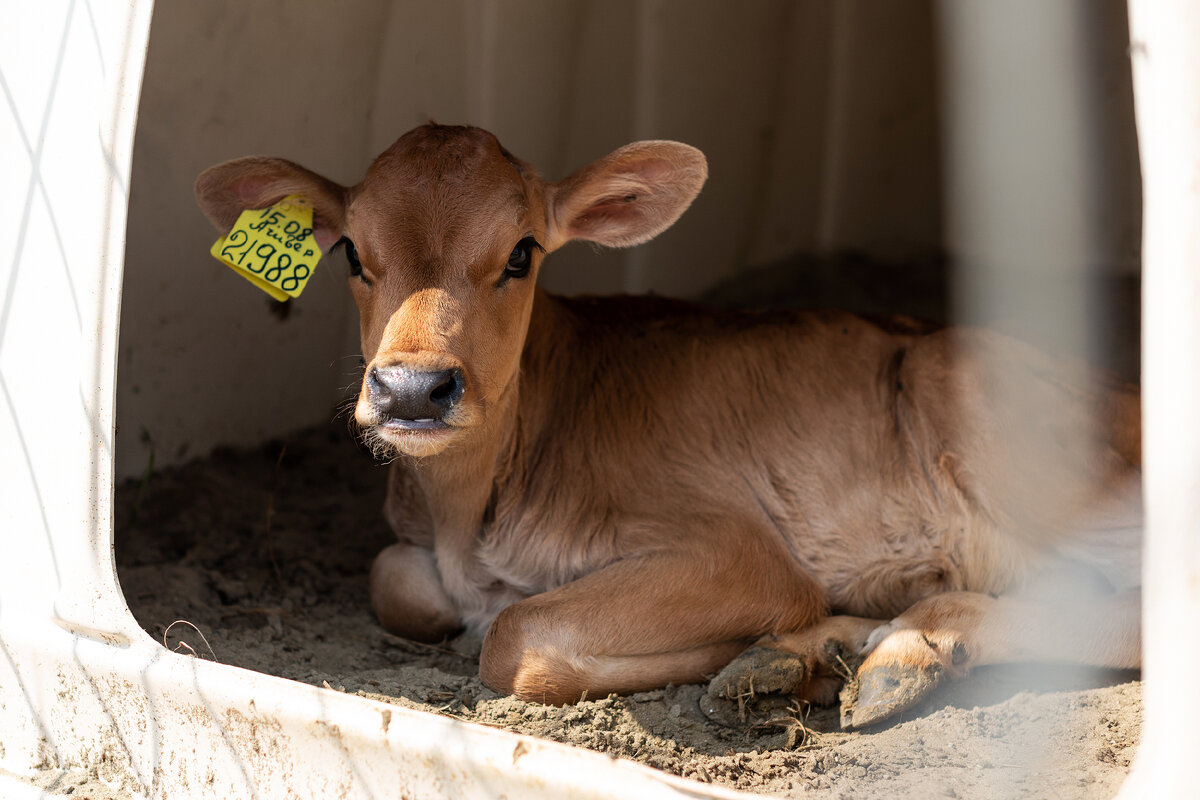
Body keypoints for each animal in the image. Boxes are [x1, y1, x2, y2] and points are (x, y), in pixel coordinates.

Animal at [199, 122, 1142, 729]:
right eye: (352, 253)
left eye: (522, 252)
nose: (411, 390)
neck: (472, 516)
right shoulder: (412, 551)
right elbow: (398, 580)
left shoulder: (737, 554)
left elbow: (514, 636)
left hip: (975, 400)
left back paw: (889, 653)